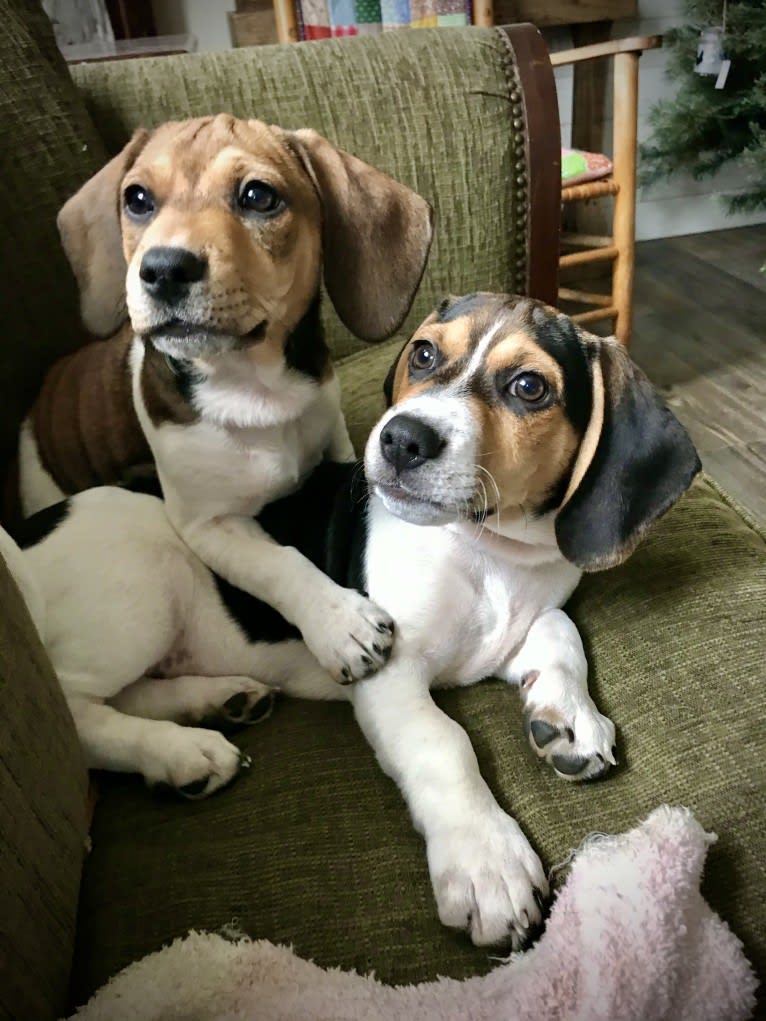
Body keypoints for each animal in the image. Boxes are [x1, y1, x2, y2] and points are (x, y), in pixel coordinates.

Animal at [4, 298, 702, 955]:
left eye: (530, 387)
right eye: (423, 354)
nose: (400, 438)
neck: (488, 554)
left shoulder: (524, 619)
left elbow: (560, 632)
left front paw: (569, 714)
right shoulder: (390, 671)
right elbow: (444, 743)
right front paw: (487, 862)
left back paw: (221, 701)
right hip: (143, 586)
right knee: (75, 712)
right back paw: (179, 751)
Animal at [19, 113, 437, 686]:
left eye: (258, 196)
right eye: (138, 199)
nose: (163, 268)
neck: (252, 388)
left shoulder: (332, 443)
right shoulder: (206, 524)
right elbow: (278, 562)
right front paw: (338, 623)